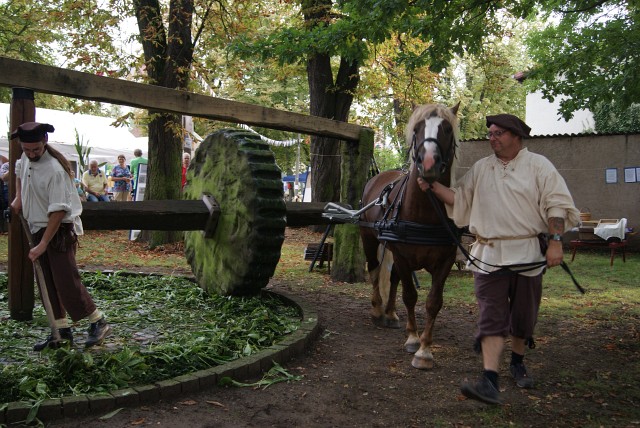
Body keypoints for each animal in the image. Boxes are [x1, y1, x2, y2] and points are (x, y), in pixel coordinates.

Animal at [360, 102, 460, 370]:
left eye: (447, 129)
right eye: (417, 128)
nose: (429, 163)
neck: (424, 211)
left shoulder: (445, 261)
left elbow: (434, 301)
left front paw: (425, 350)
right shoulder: (403, 257)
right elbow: (410, 295)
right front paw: (413, 339)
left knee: (392, 278)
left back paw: (391, 313)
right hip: (369, 239)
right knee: (375, 271)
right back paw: (377, 310)